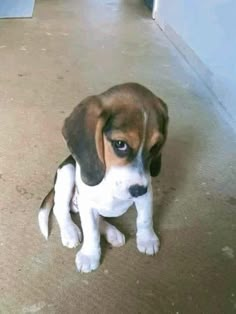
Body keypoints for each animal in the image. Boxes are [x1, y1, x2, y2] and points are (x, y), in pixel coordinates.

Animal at [38, 82, 168, 272]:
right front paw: (89, 255)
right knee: (60, 208)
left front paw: (147, 239)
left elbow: (145, 218)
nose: (138, 190)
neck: (110, 182)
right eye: (120, 144)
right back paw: (70, 231)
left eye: (155, 147)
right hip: (67, 171)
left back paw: (113, 233)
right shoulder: (87, 202)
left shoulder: (147, 191)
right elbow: (90, 231)